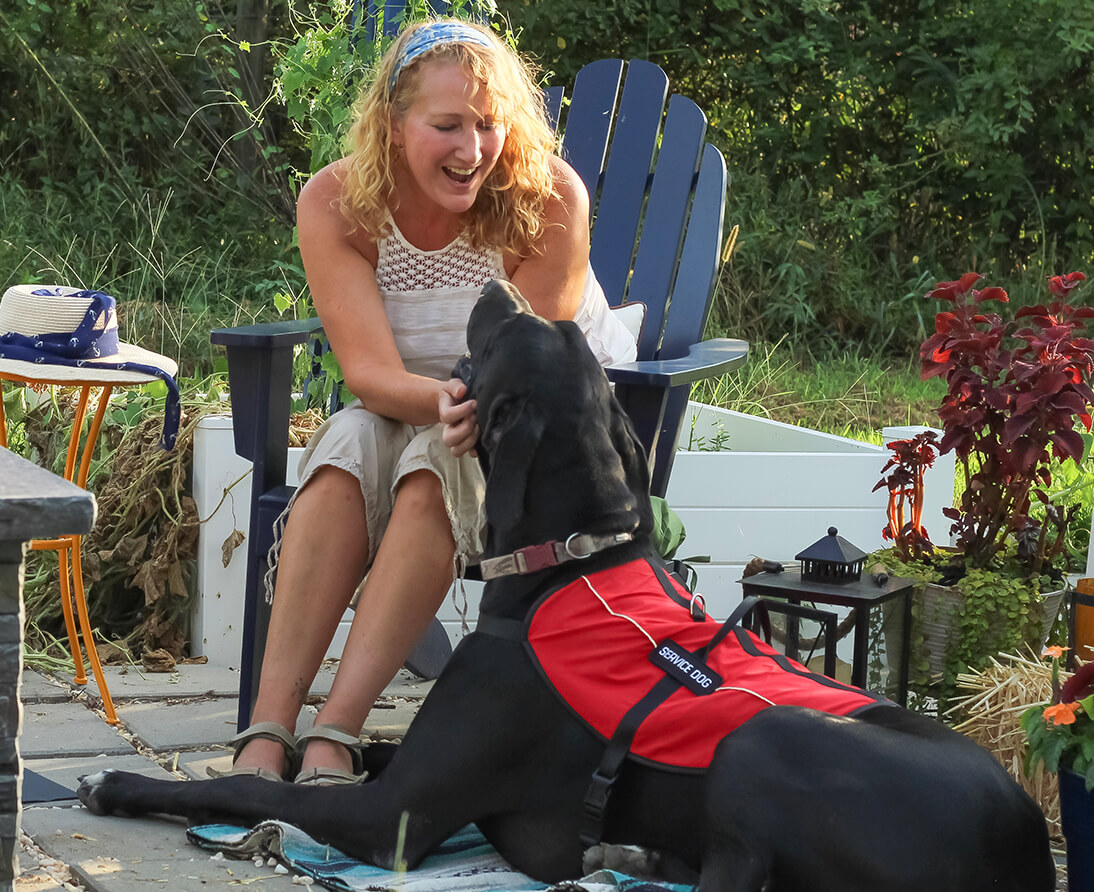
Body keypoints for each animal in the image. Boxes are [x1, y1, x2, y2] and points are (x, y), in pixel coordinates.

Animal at [77, 280, 1050, 892]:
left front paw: (125, 785)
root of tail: (1029, 849)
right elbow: (358, 751)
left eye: (511, 337)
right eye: (565, 337)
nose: (498, 283)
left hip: (763, 741)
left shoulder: (395, 817)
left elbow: (258, 793)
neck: (566, 561)